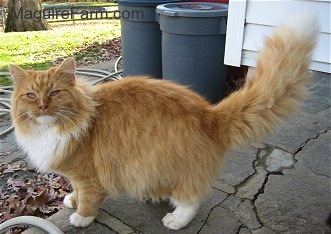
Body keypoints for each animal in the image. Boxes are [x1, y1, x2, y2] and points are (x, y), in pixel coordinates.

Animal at [9, 16, 318, 230]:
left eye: (55, 93)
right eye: (31, 95)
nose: (42, 106)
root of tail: (210, 114)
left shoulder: (88, 174)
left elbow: (88, 198)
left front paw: (81, 217)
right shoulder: (74, 173)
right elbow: (74, 190)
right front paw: (71, 200)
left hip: (168, 167)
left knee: (191, 199)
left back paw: (175, 220)